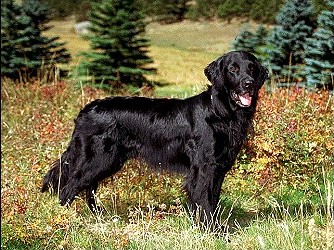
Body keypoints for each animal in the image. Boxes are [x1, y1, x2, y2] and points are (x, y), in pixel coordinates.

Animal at [41, 50, 268, 227]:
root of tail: (85, 111)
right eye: (233, 69)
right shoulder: (204, 168)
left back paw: (101, 218)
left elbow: (213, 201)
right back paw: (64, 220)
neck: (220, 112)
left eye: (252, 69)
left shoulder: (218, 169)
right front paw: (213, 232)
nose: (248, 84)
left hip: (107, 161)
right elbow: (204, 202)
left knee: (89, 189)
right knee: (68, 188)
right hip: (98, 159)